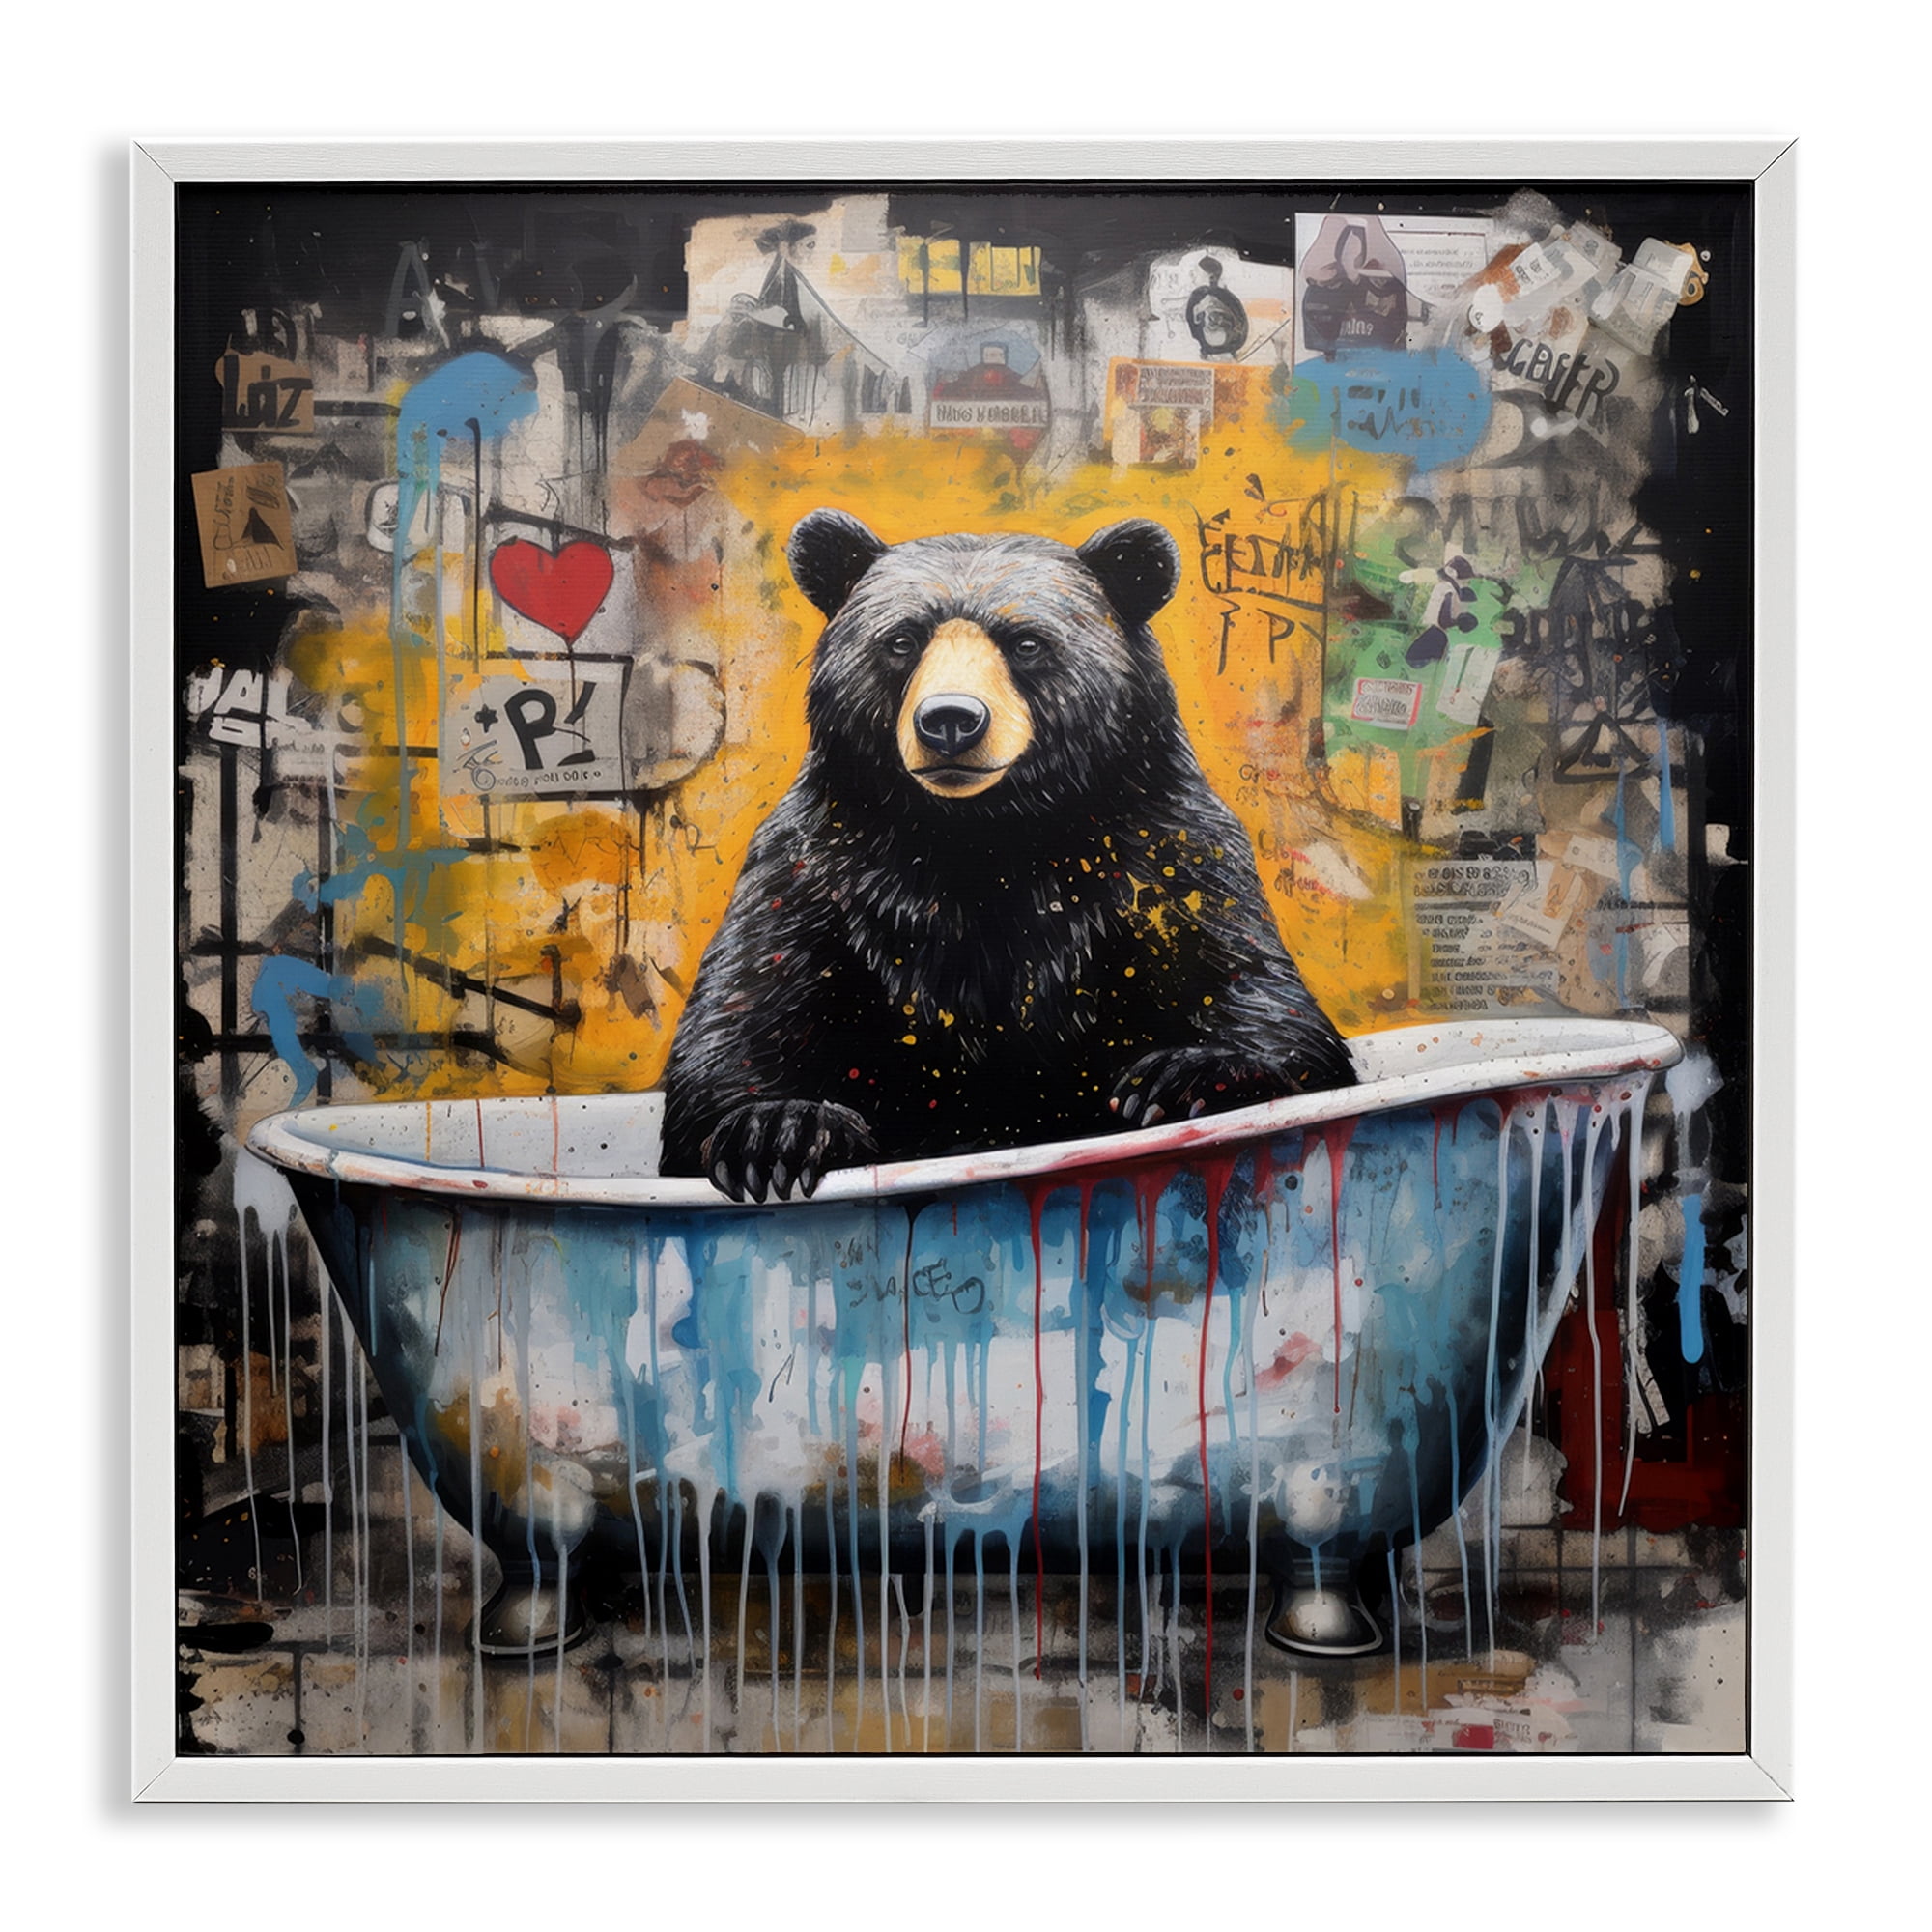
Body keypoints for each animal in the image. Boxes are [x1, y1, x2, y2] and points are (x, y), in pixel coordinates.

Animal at [658, 509, 1356, 1201]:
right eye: (903, 640)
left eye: (1026, 643)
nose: (950, 720)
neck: (988, 836)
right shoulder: (818, 874)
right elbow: (742, 1014)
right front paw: (778, 1128)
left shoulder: (1165, 860)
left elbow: (1257, 990)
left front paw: (1184, 1077)